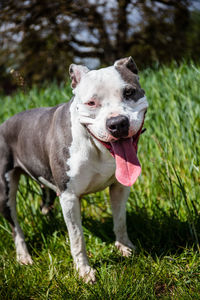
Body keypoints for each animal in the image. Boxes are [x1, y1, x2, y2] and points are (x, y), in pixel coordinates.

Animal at [0, 56, 148, 284]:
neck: (96, 147)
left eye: (129, 92)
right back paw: (23, 257)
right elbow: (77, 237)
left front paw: (125, 248)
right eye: (91, 103)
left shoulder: (119, 186)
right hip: (5, 191)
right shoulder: (69, 196)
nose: (117, 123)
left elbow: (120, 220)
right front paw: (84, 272)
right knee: (15, 226)